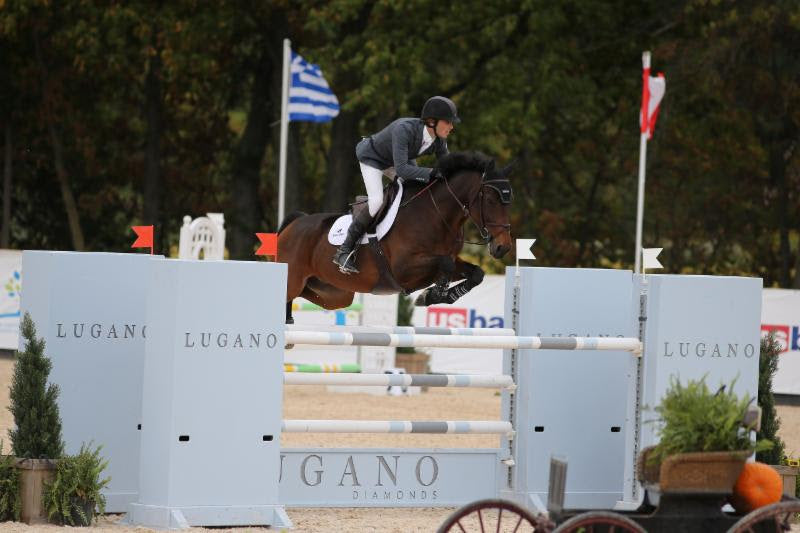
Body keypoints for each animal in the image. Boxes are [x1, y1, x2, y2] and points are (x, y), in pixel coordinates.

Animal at [276, 152, 512, 322]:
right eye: (490, 200)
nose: (504, 247)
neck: (436, 215)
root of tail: (296, 223)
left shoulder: (446, 263)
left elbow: (476, 273)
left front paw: (436, 296)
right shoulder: (404, 269)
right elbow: (445, 263)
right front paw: (432, 295)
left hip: (334, 293)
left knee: (304, 296)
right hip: (294, 279)